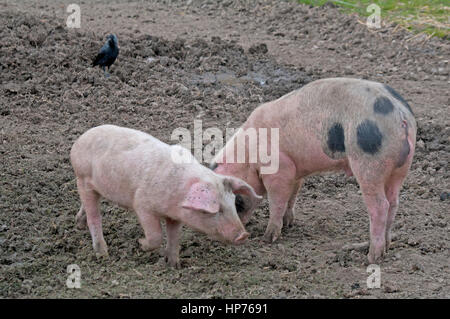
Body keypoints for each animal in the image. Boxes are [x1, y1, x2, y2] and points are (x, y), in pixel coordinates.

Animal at [70, 124, 260, 268]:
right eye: (217, 209)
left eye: (233, 204)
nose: (244, 235)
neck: (178, 196)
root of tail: (79, 141)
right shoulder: (142, 205)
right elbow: (156, 235)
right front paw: (140, 244)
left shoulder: (175, 216)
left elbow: (174, 237)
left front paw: (174, 265)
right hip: (83, 178)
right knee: (94, 217)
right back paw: (102, 254)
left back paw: (79, 224)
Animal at [213, 78, 416, 264]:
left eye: (236, 201)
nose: (240, 234)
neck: (248, 156)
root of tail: (400, 114)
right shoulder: (295, 170)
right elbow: (292, 196)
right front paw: (289, 223)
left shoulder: (280, 168)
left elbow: (277, 201)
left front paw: (268, 238)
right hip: (401, 167)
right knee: (393, 202)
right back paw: (387, 246)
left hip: (369, 163)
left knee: (380, 206)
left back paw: (372, 257)